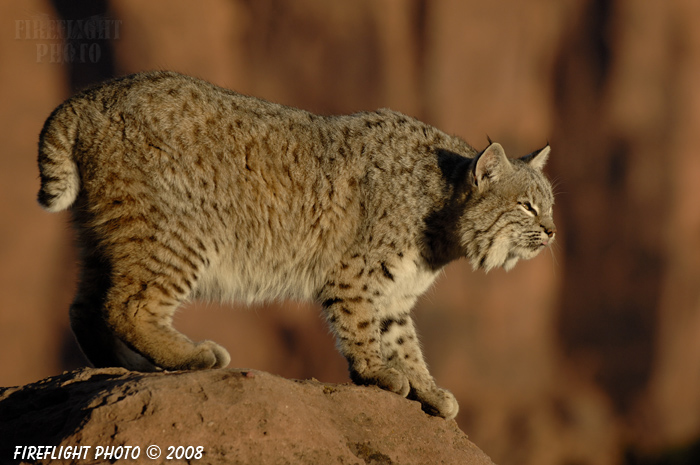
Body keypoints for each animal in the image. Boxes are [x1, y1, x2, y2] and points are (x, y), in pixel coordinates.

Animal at [38, 70, 556, 420]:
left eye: (549, 205)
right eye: (528, 207)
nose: (552, 233)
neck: (444, 221)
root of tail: (91, 94)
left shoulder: (395, 292)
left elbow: (404, 340)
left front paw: (428, 389)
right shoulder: (354, 273)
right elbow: (362, 327)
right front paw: (377, 374)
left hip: (105, 236)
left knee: (84, 308)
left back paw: (125, 367)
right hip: (181, 234)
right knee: (126, 305)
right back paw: (193, 356)